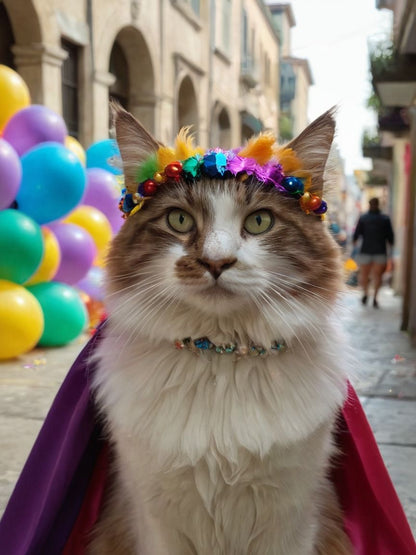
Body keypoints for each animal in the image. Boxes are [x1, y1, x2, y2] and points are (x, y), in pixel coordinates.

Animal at [89, 105, 352, 555]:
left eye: (260, 221)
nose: (216, 262)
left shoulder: (292, 518)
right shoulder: (156, 518)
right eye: (179, 220)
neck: (220, 355)